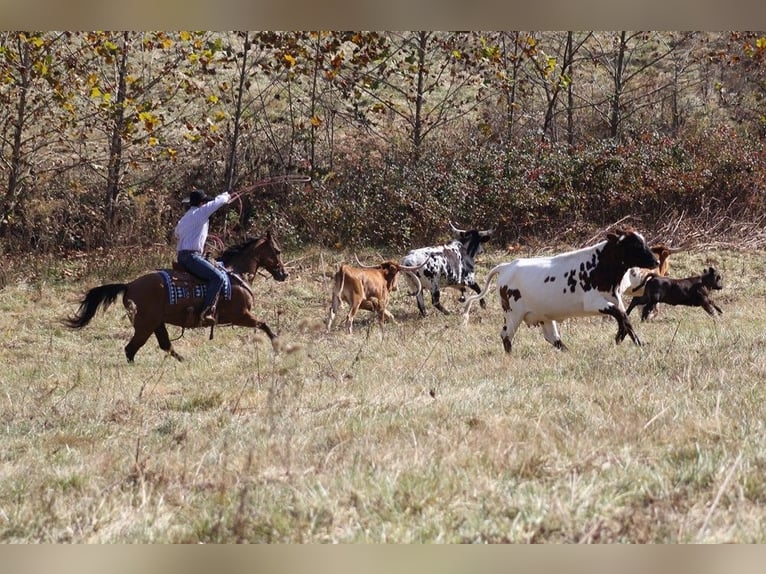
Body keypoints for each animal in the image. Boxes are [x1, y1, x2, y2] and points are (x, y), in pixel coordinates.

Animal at [63, 231, 288, 362]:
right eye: (277, 250)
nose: (284, 274)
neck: (235, 275)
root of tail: (129, 285)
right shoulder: (241, 315)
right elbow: (264, 324)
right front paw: (278, 345)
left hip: (156, 324)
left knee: (163, 345)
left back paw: (184, 360)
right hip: (145, 325)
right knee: (131, 348)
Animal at [462, 227, 660, 354]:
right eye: (635, 245)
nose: (656, 261)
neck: (599, 266)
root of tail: (506, 266)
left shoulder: (615, 299)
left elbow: (625, 319)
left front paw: (628, 340)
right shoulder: (594, 303)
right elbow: (621, 316)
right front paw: (631, 341)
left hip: (543, 317)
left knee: (553, 338)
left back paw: (568, 352)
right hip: (513, 314)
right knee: (506, 335)